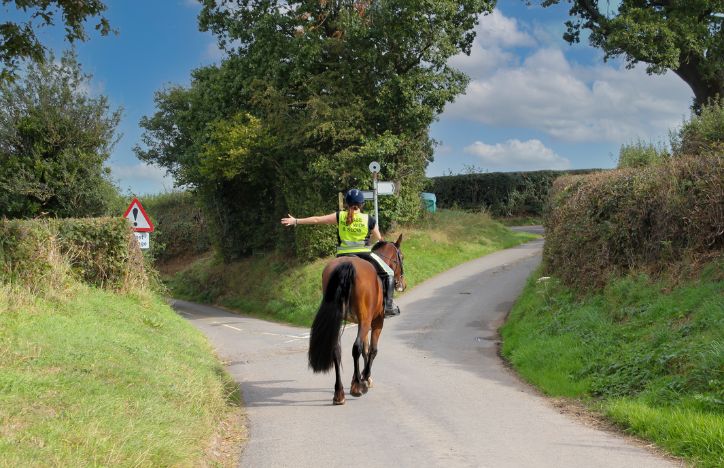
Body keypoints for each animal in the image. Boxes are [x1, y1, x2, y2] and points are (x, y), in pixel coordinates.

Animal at [306, 234, 404, 406]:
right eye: (402, 257)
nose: (402, 285)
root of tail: (347, 263)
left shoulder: (361, 322)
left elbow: (365, 350)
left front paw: (358, 378)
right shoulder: (376, 322)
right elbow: (371, 350)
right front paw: (365, 378)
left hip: (342, 320)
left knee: (336, 350)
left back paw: (339, 393)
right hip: (366, 321)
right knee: (356, 348)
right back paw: (358, 387)